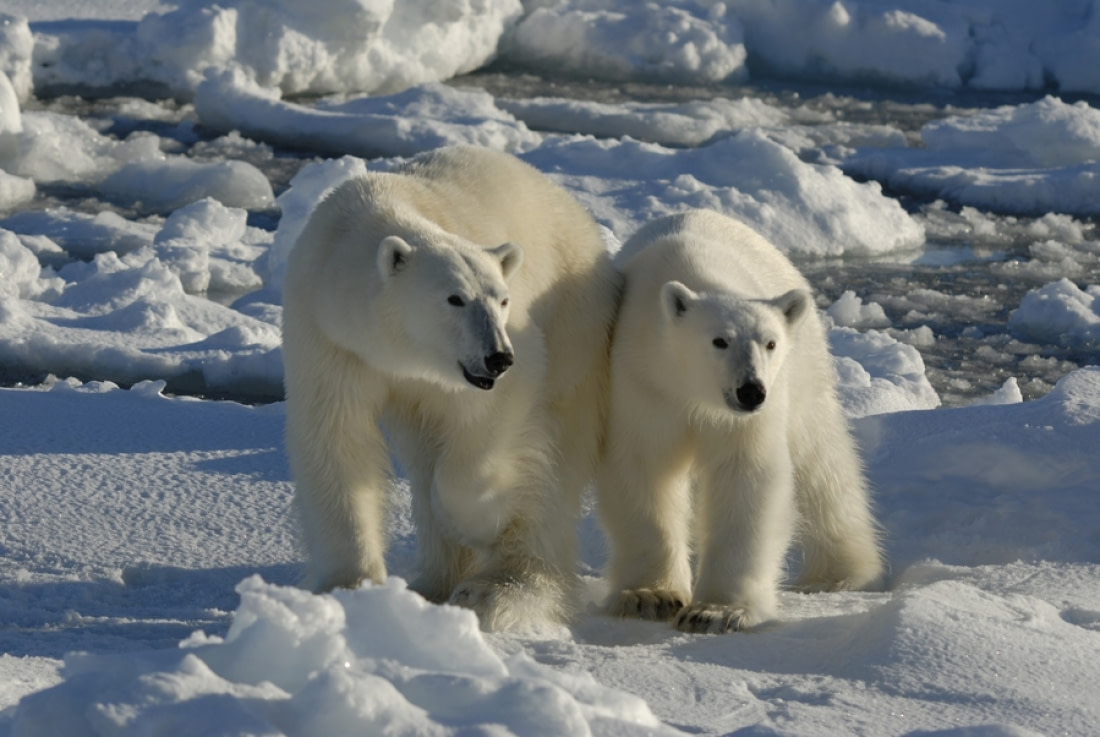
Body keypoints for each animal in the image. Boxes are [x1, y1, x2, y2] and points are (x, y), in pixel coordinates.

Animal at [283, 146, 624, 633]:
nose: (498, 357)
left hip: (575, 323)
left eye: (502, 298)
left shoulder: (504, 356)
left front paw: (481, 522)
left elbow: (491, 421)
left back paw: (498, 590)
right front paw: (349, 590)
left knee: (555, 462)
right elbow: (336, 438)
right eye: (454, 298)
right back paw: (435, 584)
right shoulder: (330, 340)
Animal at [598, 209, 880, 633]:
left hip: (804, 369)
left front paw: (716, 611)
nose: (751, 391)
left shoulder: (745, 418)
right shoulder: (641, 383)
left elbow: (744, 475)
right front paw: (649, 597)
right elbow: (644, 471)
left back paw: (842, 573)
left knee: (822, 463)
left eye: (770, 342)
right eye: (720, 340)